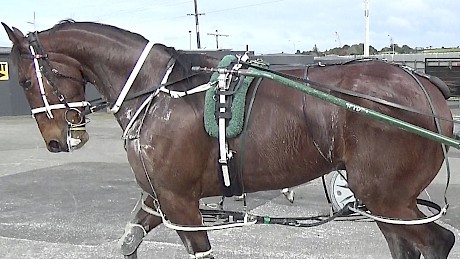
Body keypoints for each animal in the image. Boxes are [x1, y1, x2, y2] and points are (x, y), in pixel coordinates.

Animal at [2, 20, 456, 259]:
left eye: (24, 80)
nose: (56, 141)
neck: (158, 89)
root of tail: (423, 83)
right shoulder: (157, 197)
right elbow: (129, 239)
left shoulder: (180, 202)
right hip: (386, 201)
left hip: (385, 195)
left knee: (439, 241)